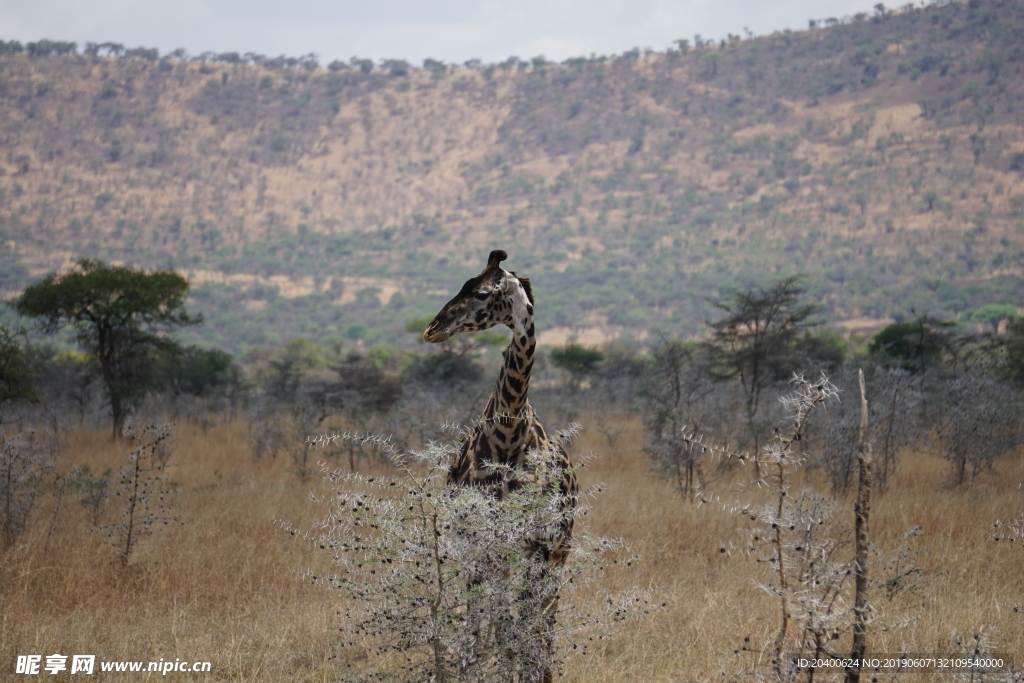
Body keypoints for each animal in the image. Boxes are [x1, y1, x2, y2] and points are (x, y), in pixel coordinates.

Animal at [423, 250, 581, 683]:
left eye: (480, 293)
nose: (431, 329)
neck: (509, 435)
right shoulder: (482, 543)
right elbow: (482, 629)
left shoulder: (538, 547)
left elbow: (526, 630)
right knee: (496, 622)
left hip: (557, 555)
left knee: (543, 624)